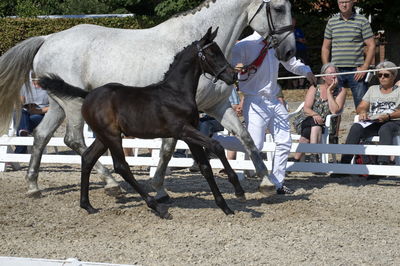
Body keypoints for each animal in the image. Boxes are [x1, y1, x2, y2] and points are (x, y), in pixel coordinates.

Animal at [39, 28, 244, 218]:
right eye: (212, 53)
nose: (233, 76)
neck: (176, 93)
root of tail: (89, 94)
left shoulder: (190, 134)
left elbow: (205, 167)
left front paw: (225, 206)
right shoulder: (183, 131)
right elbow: (217, 146)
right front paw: (238, 188)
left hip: (104, 136)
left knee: (88, 158)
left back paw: (87, 205)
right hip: (112, 136)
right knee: (121, 166)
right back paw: (157, 207)